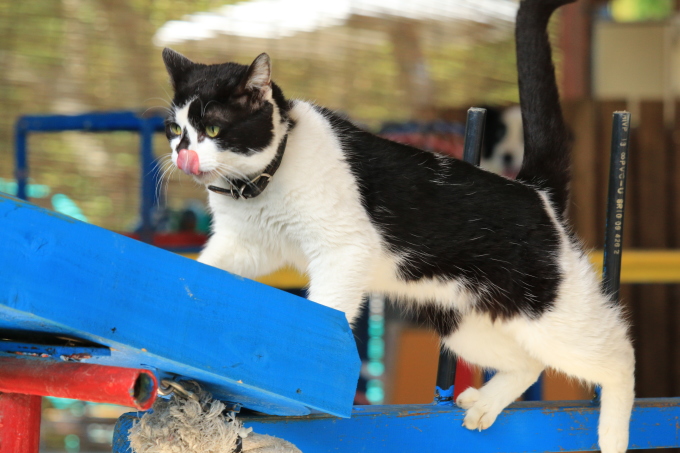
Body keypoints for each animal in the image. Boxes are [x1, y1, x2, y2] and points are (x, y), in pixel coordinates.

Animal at [162, 1, 636, 450]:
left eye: (213, 128)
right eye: (174, 129)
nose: (183, 154)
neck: (261, 184)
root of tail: (535, 192)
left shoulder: (344, 250)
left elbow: (326, 310)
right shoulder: (245, 245)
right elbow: (211, 267)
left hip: (548, 309)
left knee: (618, 354)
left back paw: (613, 434)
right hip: (462, 322)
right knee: (530, 362)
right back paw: (486, 404)